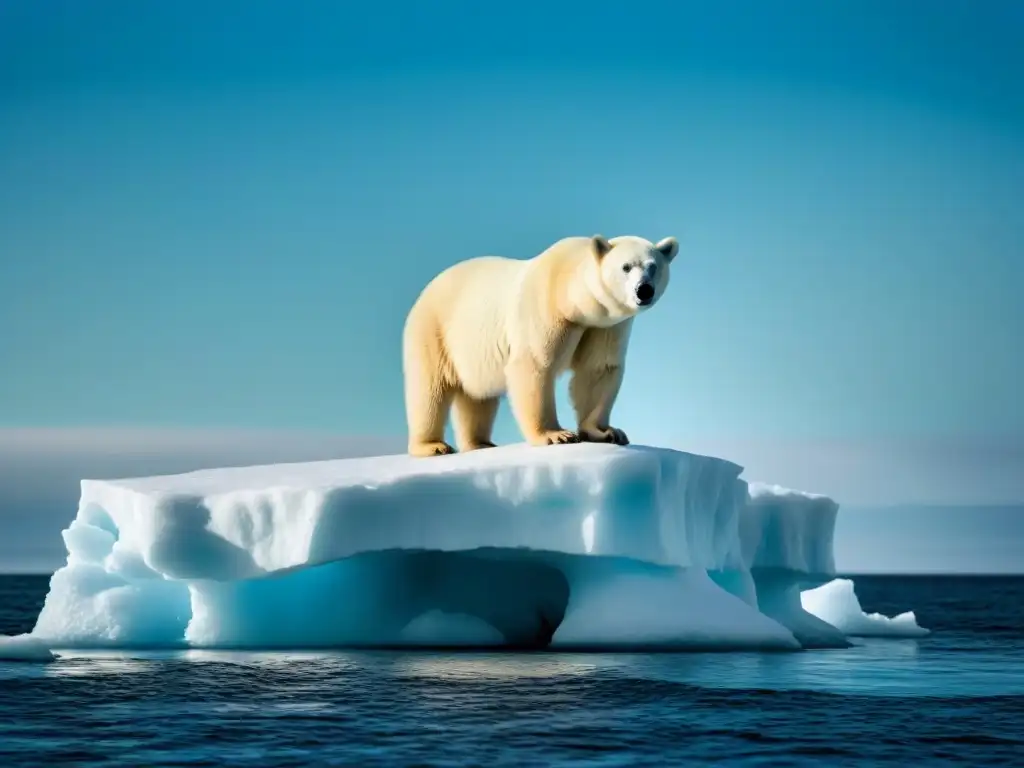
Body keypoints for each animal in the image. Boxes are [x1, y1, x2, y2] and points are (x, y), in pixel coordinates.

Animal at [402, 234, 679, 457]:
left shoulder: (605, 326)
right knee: (430, 390)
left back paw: (481, 443)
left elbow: (598, 369)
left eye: (653, 266)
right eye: (626, 267)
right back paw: (433, 446)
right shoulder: (546, 308)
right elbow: (535, 364)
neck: (569, 290)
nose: (644, 290)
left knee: (478, 396)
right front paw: (556, 435)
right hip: (434, 332)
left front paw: (607, 432)